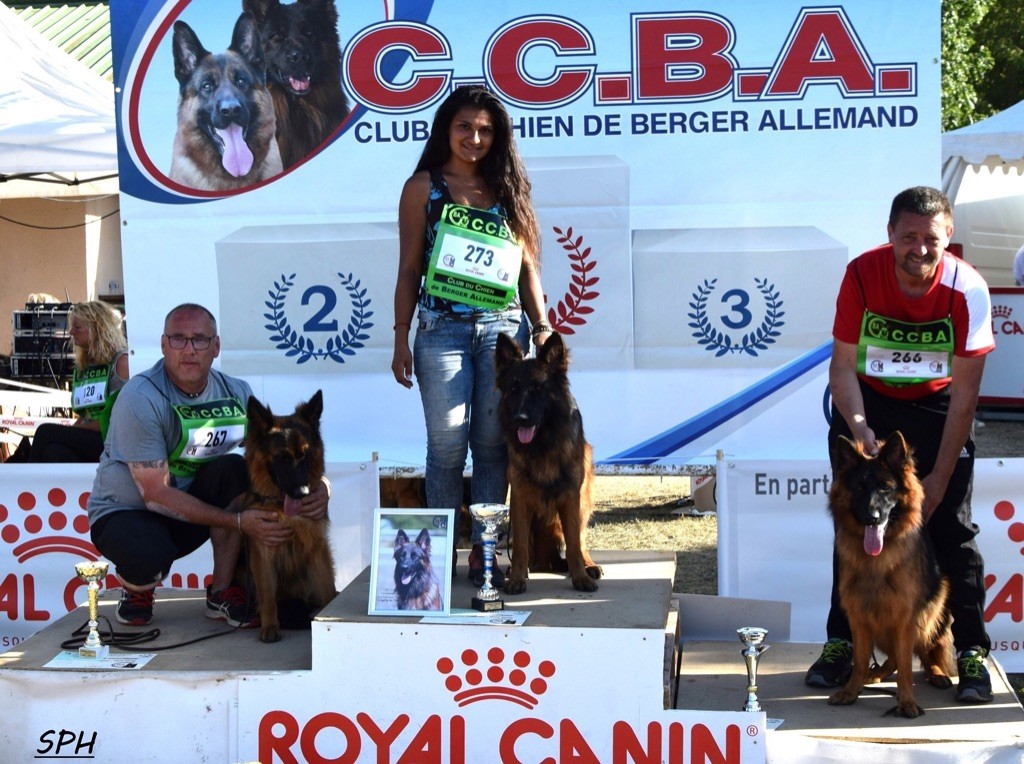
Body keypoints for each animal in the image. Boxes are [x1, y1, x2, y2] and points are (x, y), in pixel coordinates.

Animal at [242, 389, 336, 642]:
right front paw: (270, 626)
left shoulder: (317, 547)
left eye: (305, 455)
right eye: (283, 457)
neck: (285, 512)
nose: (302, 493)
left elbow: (327, 587)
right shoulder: (263, 553)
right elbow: (267, 595)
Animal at [495, 332, 603, 594]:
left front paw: (580, 577)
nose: (520, 419)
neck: (542, 444)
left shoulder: (571, 496)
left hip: (583, 504)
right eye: (513, 388)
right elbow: (520, 545)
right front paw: (517, 578)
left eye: (537, 388)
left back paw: (589, 566)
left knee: (581, 541)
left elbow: (574, 543)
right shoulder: (520, 497)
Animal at [826, 431, 955, 718]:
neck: (875, 561)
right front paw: (851, 691)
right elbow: (861, 659)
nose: (872, 517)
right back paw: (873, 675)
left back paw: (937, 673)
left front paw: (906, 701)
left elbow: (907, 665)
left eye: (885, 488)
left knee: (927, 650)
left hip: (933, 612)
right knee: (891, 660)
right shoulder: (857, 615)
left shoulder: (906, 617)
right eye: (860, 488)